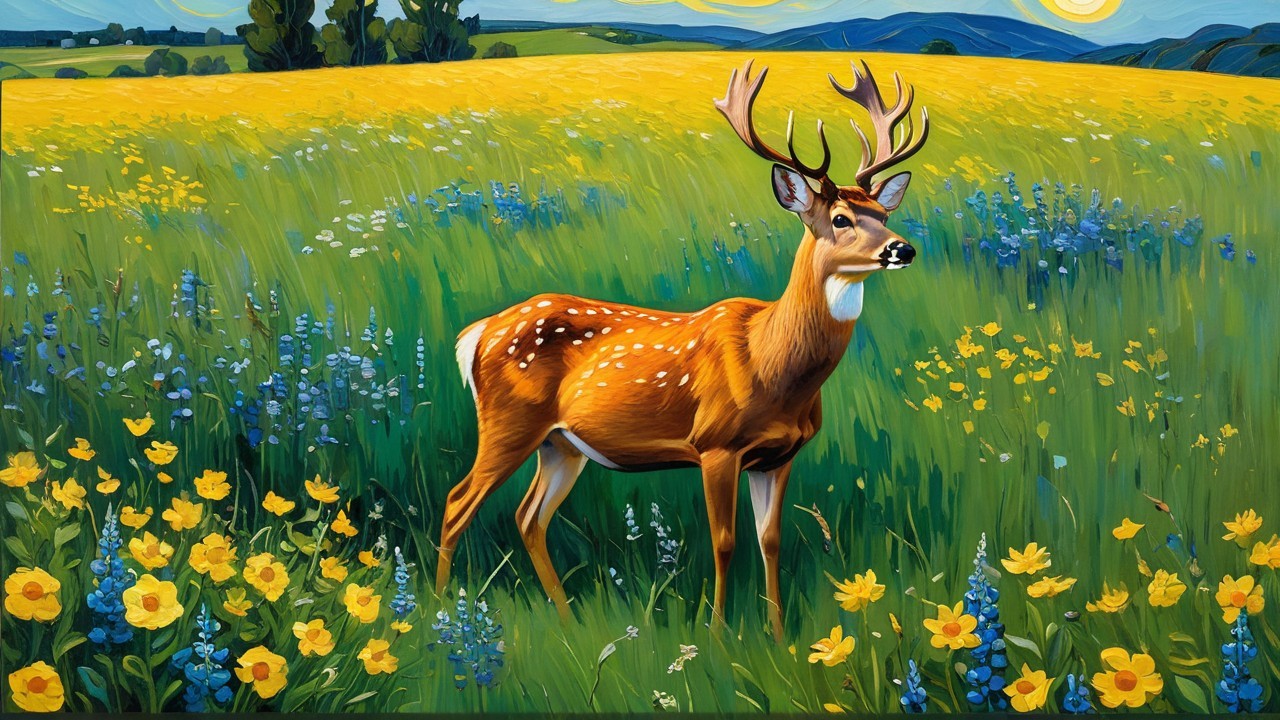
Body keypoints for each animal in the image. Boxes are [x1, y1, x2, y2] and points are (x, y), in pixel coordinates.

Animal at [435, 59, 929, 639]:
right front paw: (717, 634)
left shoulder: (779, 456)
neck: (772, 363)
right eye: (840, 220)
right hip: (508, 422)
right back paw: (439, 609)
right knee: (457, 502)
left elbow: (770, 540)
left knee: (528, 516)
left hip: (561, 444)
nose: (903, 248)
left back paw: (567, 619)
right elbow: (724, 542)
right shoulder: (715, 443)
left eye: (882, 213)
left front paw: (779, 636)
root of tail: (477, 333)